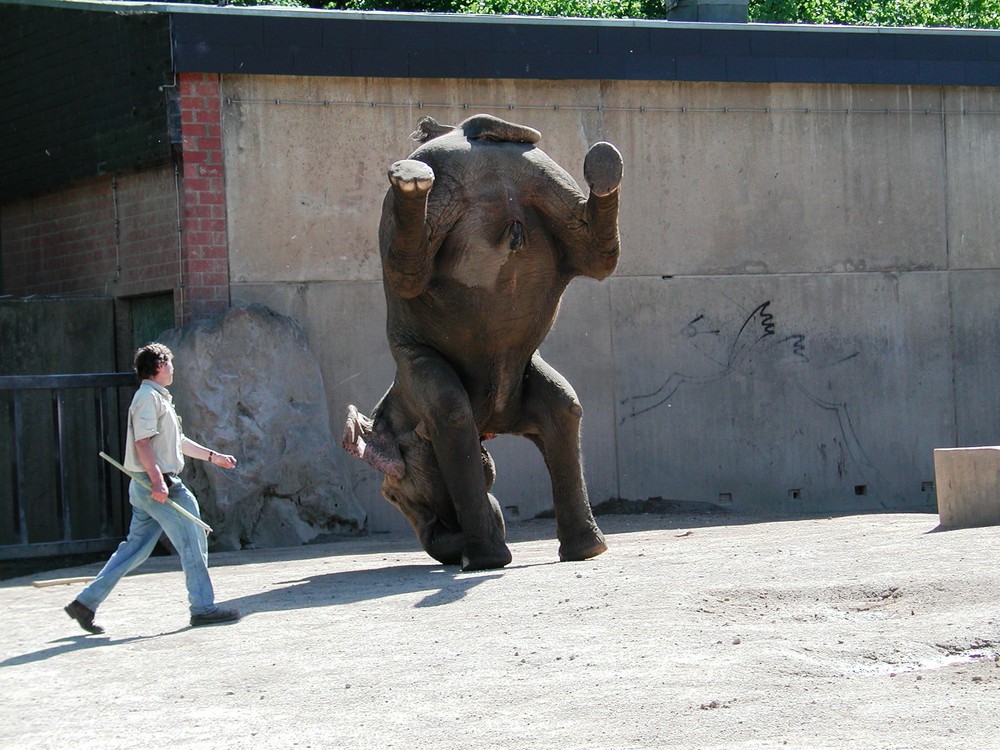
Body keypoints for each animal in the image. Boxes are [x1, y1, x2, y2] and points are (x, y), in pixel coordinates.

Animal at [344, 113, 624, 568]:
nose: (442, 548)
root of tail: (464, 130)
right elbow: (554, 411)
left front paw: (481, 562)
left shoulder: (413, 368)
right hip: (542, 176)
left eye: (392, 496)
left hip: (492, 183)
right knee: (595, 261)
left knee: (407, 273)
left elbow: (450, 416)